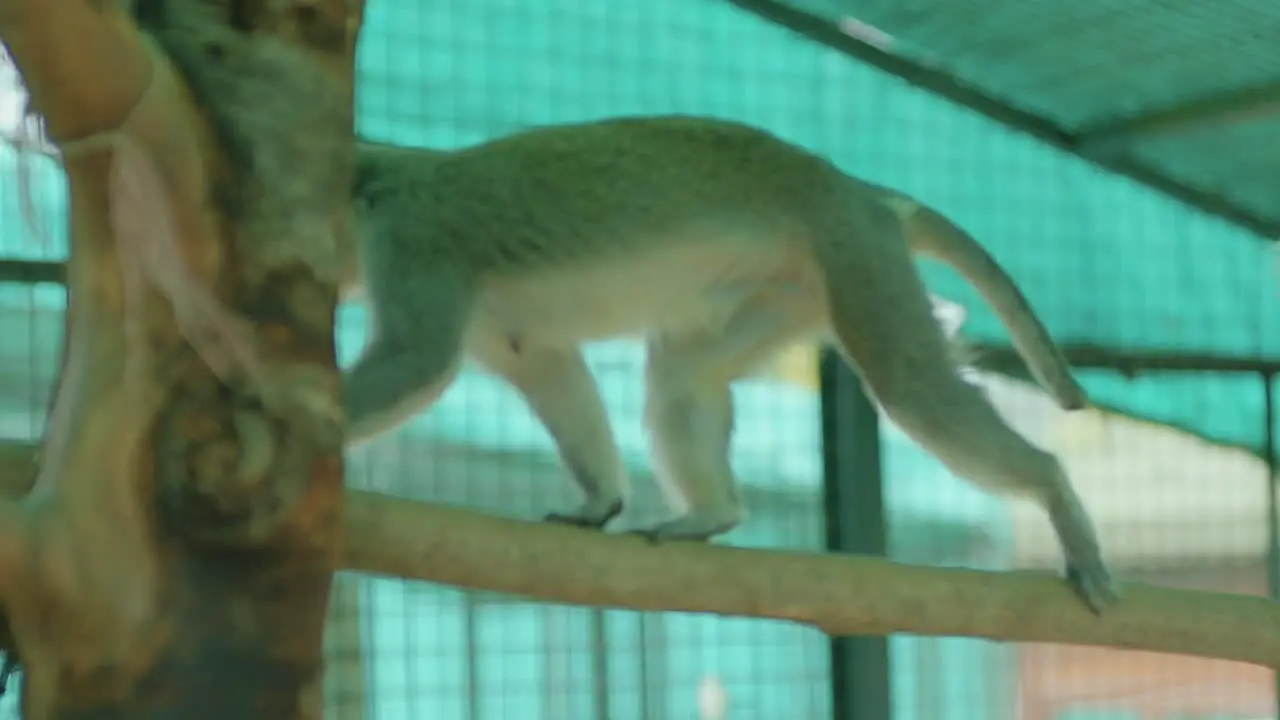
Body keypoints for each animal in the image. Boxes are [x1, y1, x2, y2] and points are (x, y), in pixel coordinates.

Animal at [345, 116, 1116, 609]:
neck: (375, 185)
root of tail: (859, 191)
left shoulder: (413, 244)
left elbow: (416, 363)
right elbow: (541, 363)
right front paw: (602, 500)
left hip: (853, 252)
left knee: (911, 386)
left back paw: (1053, 490)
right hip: (795, 288)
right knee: (684, 374)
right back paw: (712, 514)